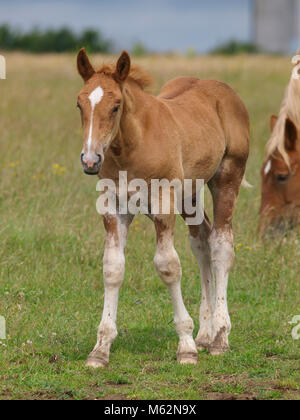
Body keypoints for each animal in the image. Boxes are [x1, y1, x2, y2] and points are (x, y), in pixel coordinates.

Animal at [76, 49, 250, 366]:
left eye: (116, 106)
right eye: (79, 104)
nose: (91, 160)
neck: (132, 145)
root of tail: (224, 90)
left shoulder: (163, 202)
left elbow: (168, 266)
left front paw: (186, 346)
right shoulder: (113, 207)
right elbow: (112, 268)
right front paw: (100, 349)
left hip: (227, 178)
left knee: (221, 245)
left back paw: (220, 336)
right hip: (189, 194)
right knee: (202, 241)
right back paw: (205, 334)